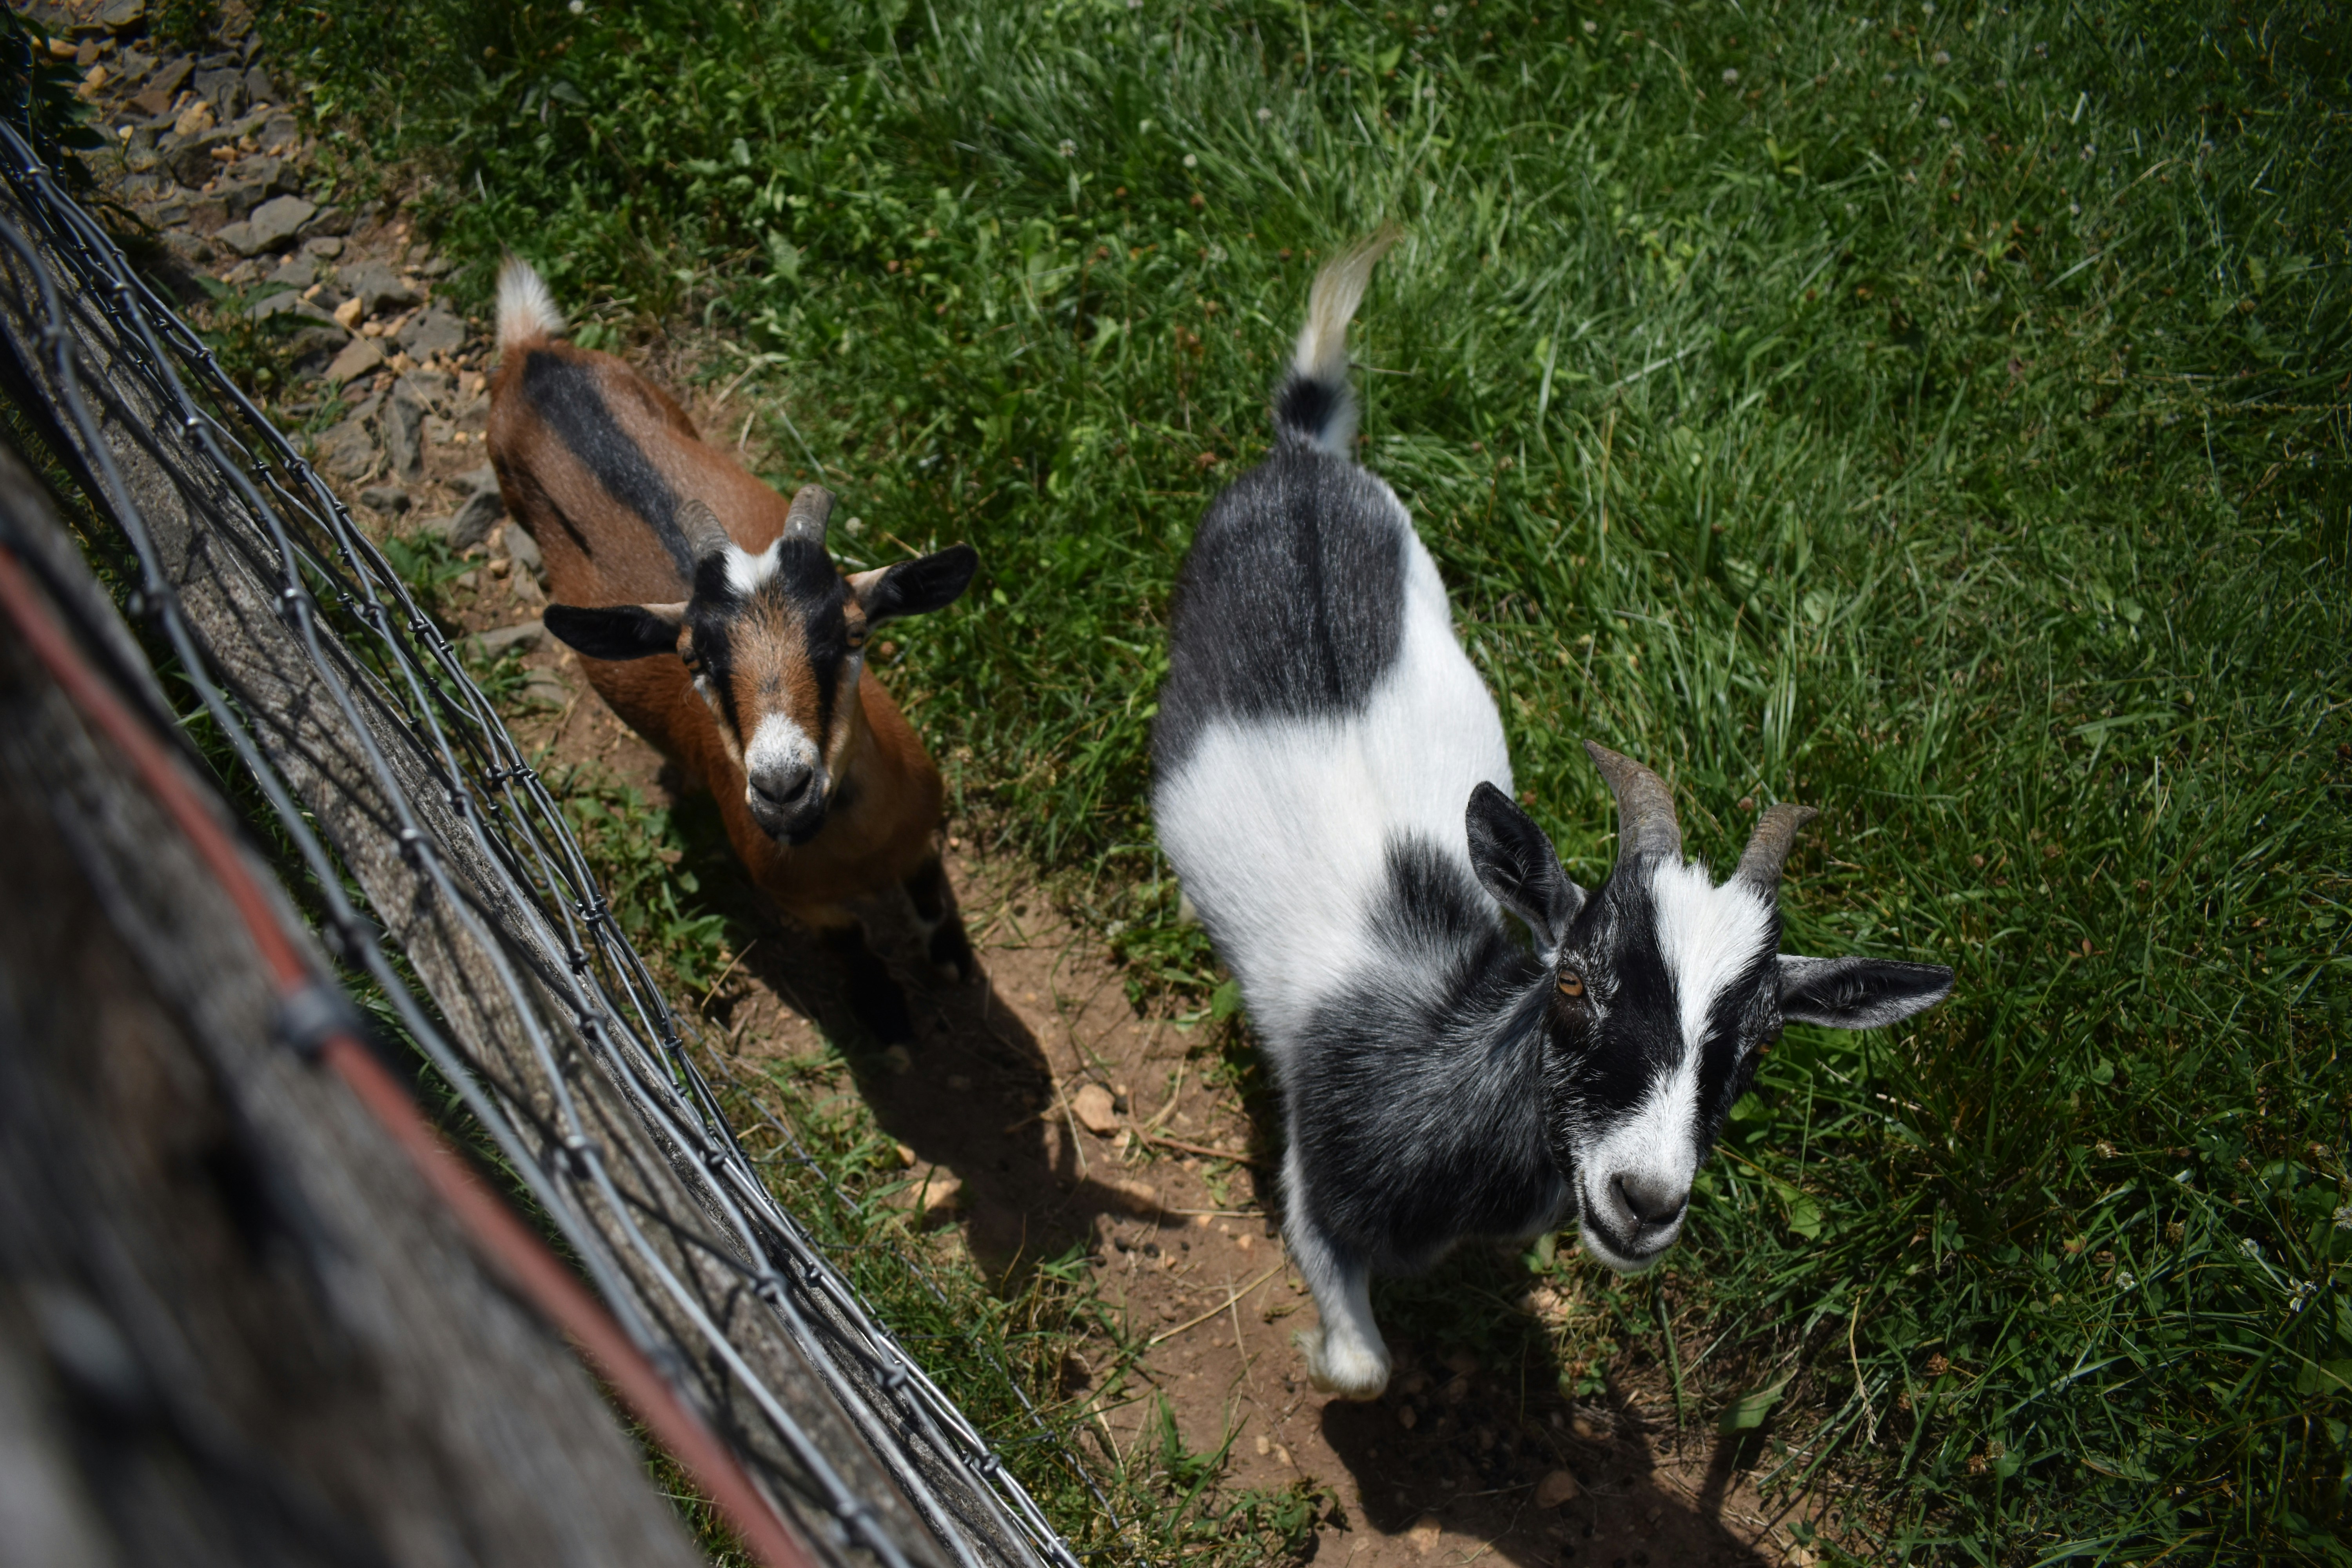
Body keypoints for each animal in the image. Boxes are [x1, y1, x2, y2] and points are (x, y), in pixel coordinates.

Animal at [487, 259, 980, 1042]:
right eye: (692, 658)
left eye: (854, 633)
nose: (782, 789)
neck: (859, 849)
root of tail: (530, 353)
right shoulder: (798, 898)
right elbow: (850, 941)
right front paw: (883, 1012)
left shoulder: (921, 834)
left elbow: (931, 889)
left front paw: (953, 959)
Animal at [1150, 230, 1954, 1400]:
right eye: (1573, 979)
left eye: (1761, 1042)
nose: (1644, 1200)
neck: (1438, 1034)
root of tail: (1301, 463)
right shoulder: (1313, 1187)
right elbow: (1367, 1369)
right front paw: (1314, 1351)